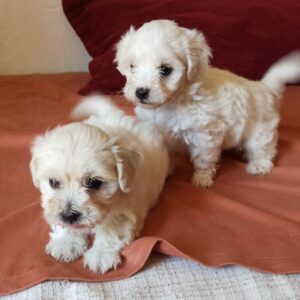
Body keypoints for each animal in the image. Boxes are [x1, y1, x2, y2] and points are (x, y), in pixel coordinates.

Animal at [29, 96, 170, 274]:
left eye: (94, 182)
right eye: (53, 182)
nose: (69, 215)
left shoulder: (124, 212)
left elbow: (111, 230)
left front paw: (101, 254)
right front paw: (66, 243)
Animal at [115, 18, 300, 186]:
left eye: (165, 69)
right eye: (132, 67)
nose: (141, 92)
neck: (171, 102)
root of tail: (264, 87)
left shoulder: (204, 134)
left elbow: (203, 159)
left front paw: (202, 179)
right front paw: (163, 172)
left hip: (261, 128)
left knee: (263, 148)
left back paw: (259, 165)